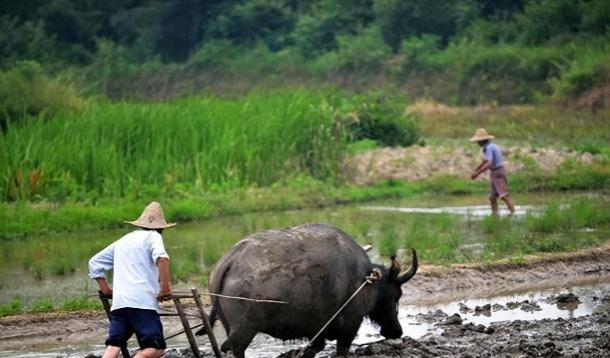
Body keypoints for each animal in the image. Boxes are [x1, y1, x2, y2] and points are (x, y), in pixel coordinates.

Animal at [197, 222, 416, 356]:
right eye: (397, 294)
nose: (396, 331)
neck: (363, 279)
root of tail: (231, 258)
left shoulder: (315, 331)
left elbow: (314, 348)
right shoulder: (350, 327)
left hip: (228, 325)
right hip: (244, 331)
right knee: (234, 349)